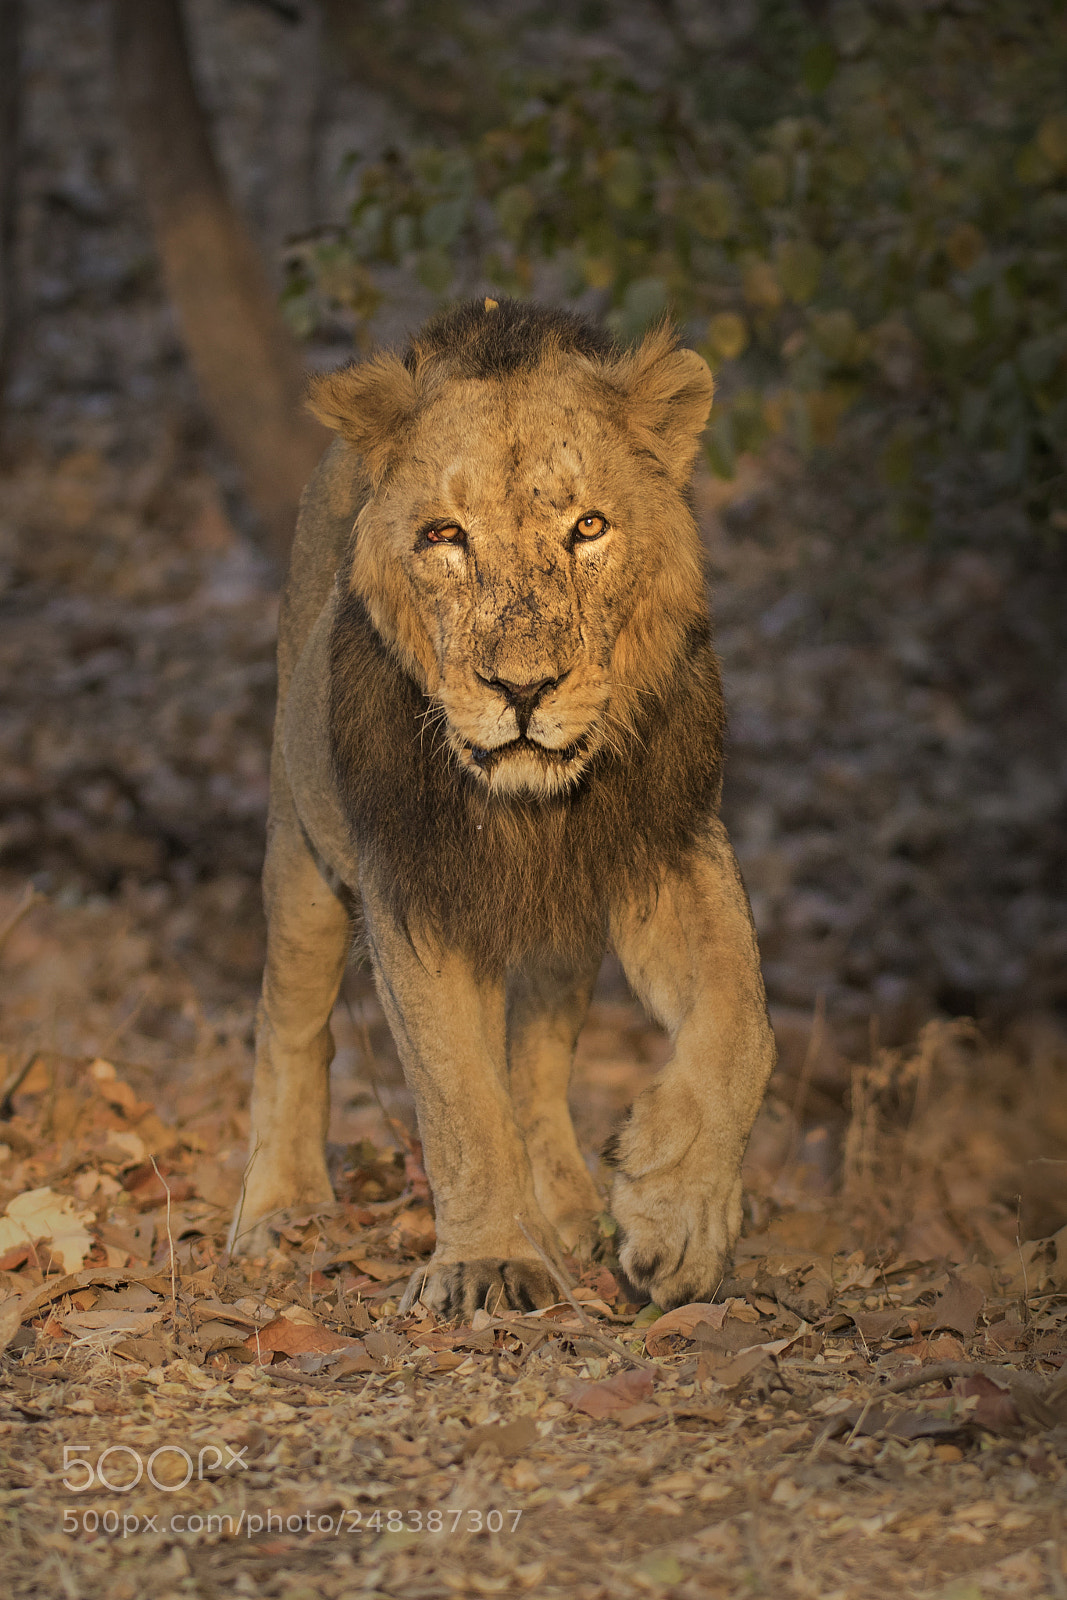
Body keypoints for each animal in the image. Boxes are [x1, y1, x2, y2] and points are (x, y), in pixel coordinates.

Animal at [229, 298, 776, 1316]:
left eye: (588, 527)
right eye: (444, 536)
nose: (522, 689)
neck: (528, 807)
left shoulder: (668, 845)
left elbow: (740, 1025)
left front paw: (674, 1217)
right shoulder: (412, 885)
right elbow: (457, 1094)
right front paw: (488, 1260)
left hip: (564, 935)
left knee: (538, 1059)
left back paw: (564, 1208)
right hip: (302, 846)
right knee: (292, 1024)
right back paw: (279, 1208)